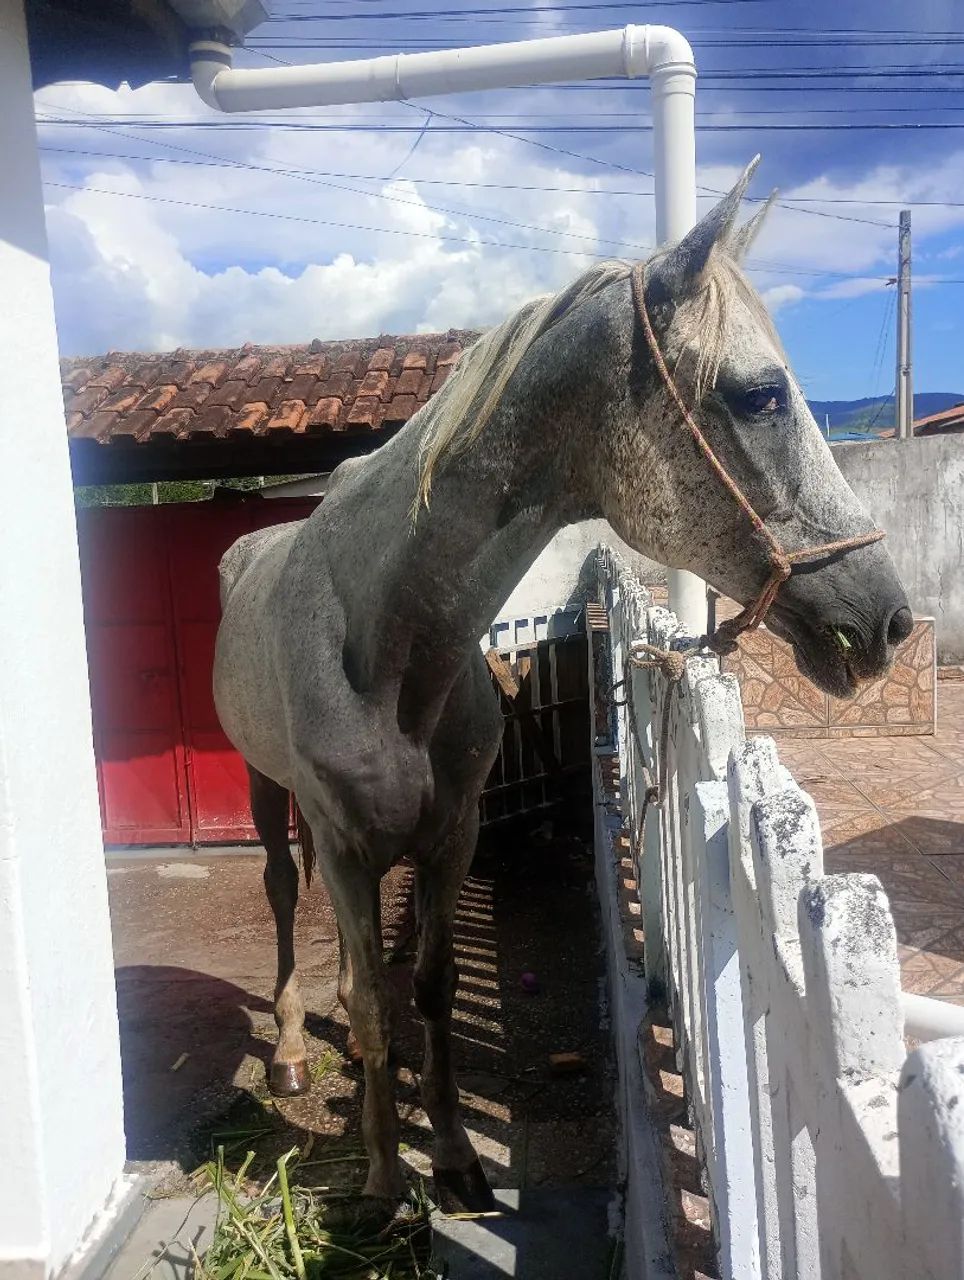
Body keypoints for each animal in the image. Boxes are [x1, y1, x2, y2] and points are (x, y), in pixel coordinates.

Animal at [213, 157, 911, 1211]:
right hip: (266, 790)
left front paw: (454, 1156)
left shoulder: (450, 835)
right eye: (760, 396)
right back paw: (294, 1047)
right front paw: (382, 1176)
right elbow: (375, 1002)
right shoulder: (346, 841)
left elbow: (425, 993)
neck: (389, 645)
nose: (889, 620)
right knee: (283, 890)